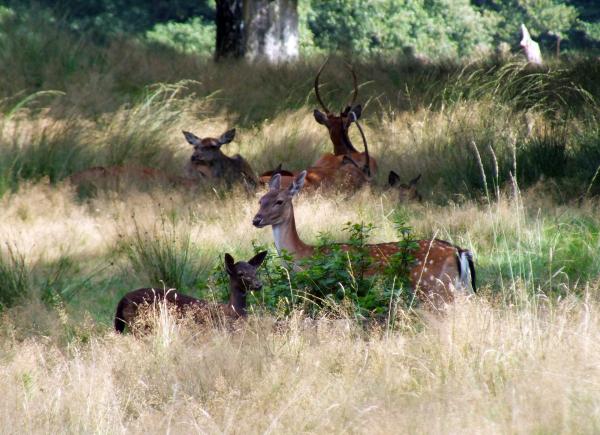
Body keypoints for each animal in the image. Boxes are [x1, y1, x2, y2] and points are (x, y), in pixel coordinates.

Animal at [114, 252, 268, 334]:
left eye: (255, 271)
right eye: (240, 273)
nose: (258, 284)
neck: (233, 311)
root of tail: (122, 300)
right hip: (139, 324)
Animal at [251, 172, 476, 312]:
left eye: (279, 201)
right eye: (260, 200)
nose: (256, 219)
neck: (303, 257)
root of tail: (459, 251)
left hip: (434, 287)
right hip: (461, 287)